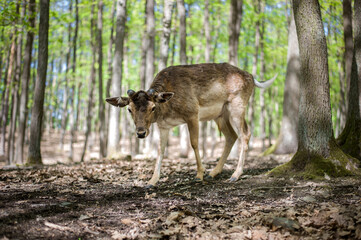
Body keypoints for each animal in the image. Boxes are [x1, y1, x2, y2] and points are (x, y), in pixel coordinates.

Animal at [106, 62, 276, 188]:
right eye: (129, 109)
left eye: (152, 107)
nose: (141, 133)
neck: (167, 109)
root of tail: (252, 77)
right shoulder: (164, 126)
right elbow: (160, 150)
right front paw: (151, 181)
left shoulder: (192, 113)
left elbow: (194, 143)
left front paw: (199, 174)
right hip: (221, 114)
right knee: (231, 135)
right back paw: (214, 172)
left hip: (237, 104)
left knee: (245, 134)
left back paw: (235, 175)